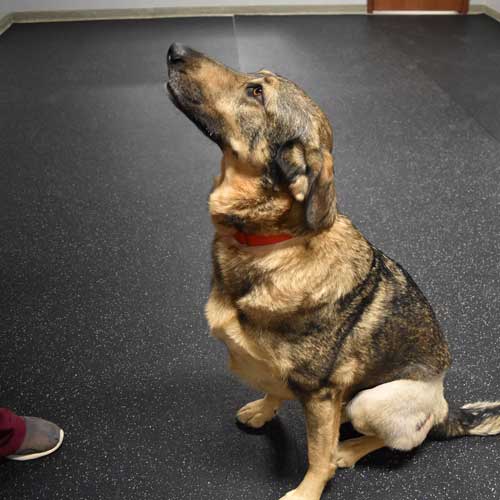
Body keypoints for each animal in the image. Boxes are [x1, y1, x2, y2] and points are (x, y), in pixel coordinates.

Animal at [165, 44, 500, 500]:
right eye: (256, 80)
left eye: (256, 92)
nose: (174, 50)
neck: (274, 243)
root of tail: (448, 410)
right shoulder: (294, 382)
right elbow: (274, 389)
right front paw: (263, 411)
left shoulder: (321, 393)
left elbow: (317, 456)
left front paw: (307, 491)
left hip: (372, 402)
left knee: (400, 438)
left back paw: (350, 449)